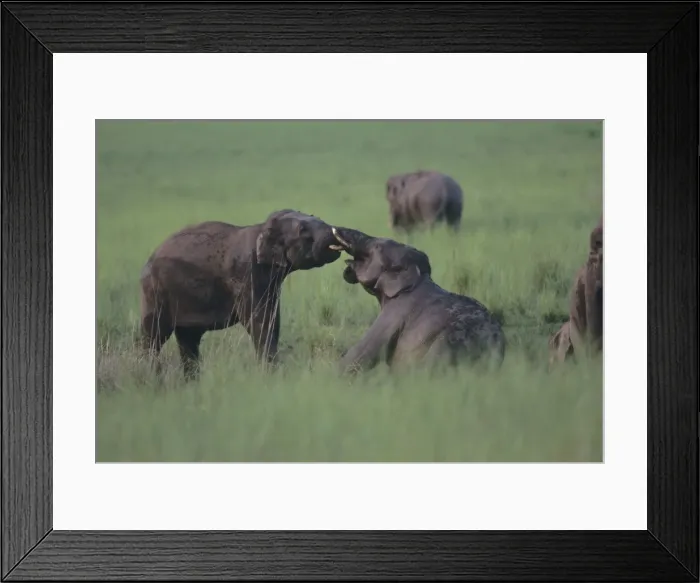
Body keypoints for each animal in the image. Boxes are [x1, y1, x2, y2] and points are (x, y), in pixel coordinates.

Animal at [139, 209, 343, 380]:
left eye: (318, 218)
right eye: (302, 230)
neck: (262, 228)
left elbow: (273, 320)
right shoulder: (247, 275)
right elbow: (259, 321)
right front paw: (271, 376)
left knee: (188, 340)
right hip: (155, 293)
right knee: (155, 336)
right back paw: (151, 378)